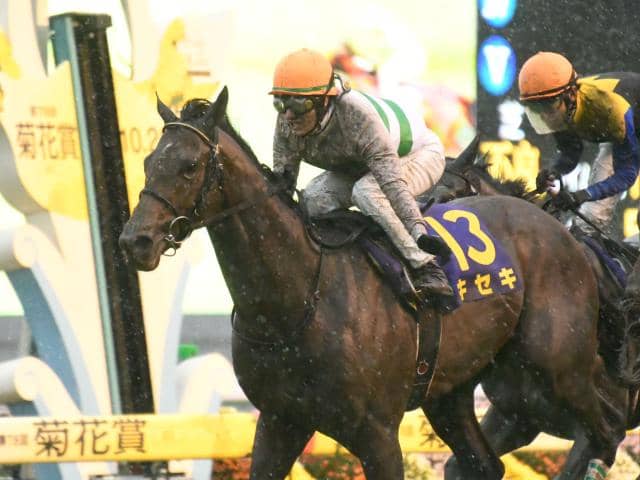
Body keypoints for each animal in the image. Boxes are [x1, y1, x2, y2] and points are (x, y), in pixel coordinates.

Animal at [119, 88, 630, 479]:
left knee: (606, 431)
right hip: (456, 392)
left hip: (558, 369)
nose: (134, 240)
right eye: (149, 161)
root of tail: (562, 233)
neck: (299, 297)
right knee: (487, 463)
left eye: (188, 165)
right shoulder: (279, 421)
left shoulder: (377, 432)